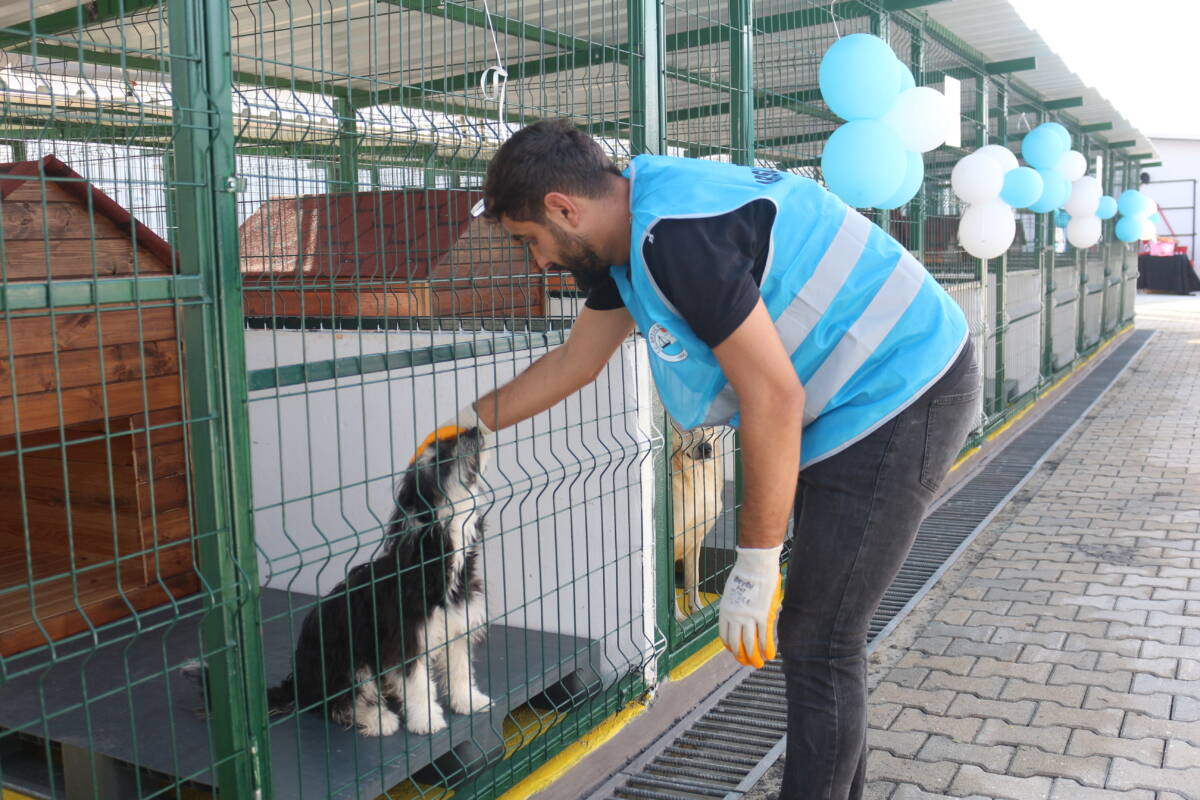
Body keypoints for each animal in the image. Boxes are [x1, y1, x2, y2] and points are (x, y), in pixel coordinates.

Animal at [263, 427, 492, 736]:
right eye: (438, 457)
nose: (475, 430)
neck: (435, 564)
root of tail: (297, 684)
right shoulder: (405, 639)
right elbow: (418, 683)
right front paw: (426, 719)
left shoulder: (457, 626)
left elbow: (460, 669)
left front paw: (469, 701)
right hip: (345, 662)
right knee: (338, 704)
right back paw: (377, 719)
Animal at [670, 423, 725, 621]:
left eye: (709, 426)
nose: (706, 448)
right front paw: (678, 619)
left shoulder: (695, 539)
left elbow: (693, 579)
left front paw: (699, 610)